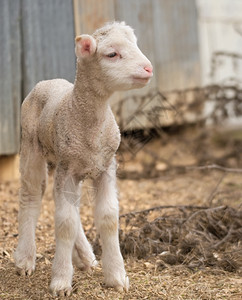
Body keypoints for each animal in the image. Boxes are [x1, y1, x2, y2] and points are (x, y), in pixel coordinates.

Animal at [14, 21, 152, 296]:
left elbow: (108, 218)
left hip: (66, 164)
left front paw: (117, 277)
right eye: (112, 54)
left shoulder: (106, 167)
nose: (148, 68)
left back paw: (85, 256)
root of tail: (48, 80)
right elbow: (65, 224)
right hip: (33, 147)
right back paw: (25, 258)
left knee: (69, 207)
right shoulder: (68, 170)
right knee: (31, 195)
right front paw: (60, 281)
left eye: (135, 45)